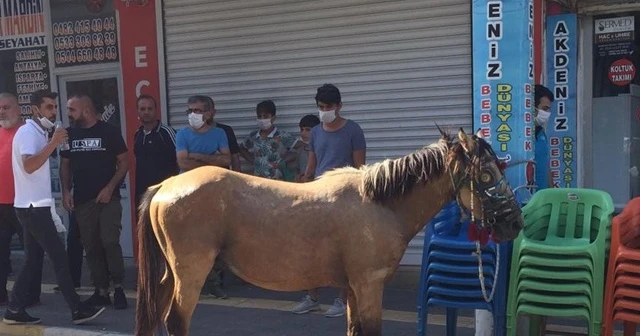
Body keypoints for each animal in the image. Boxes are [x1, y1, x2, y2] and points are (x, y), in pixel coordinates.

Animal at [132, 127, 524, 334]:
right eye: (485, 173)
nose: (514, 223)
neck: (378, 203)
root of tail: (165, 185)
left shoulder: (352, 288)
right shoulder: (369, 285)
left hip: (171, 274)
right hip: (191, 273)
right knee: (175, 319)